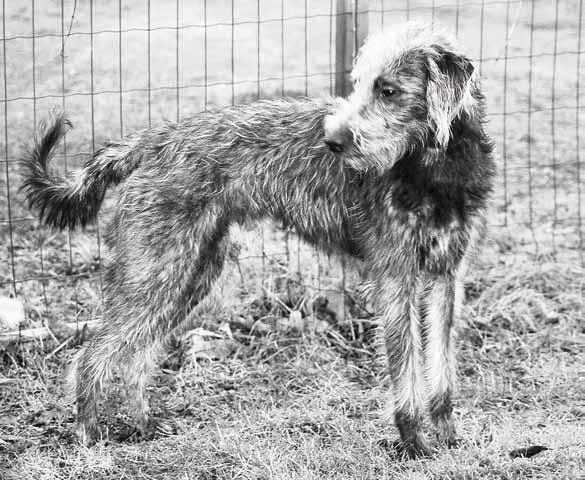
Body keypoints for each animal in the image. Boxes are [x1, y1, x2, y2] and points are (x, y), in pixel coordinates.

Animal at [19, 22, 492, 458]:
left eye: (389, 90)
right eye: (358, 84)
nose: (333, 141)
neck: (432, 170)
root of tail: (157, 138)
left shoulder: (445, 280)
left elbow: (442, 372)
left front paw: (448, 438)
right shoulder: (396, 281)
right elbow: (406, 375)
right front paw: (415, 446)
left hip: (189, 276)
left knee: (136, 357)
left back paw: (144, 423)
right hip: (157, 274)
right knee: (92, 356)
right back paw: (87, 436)